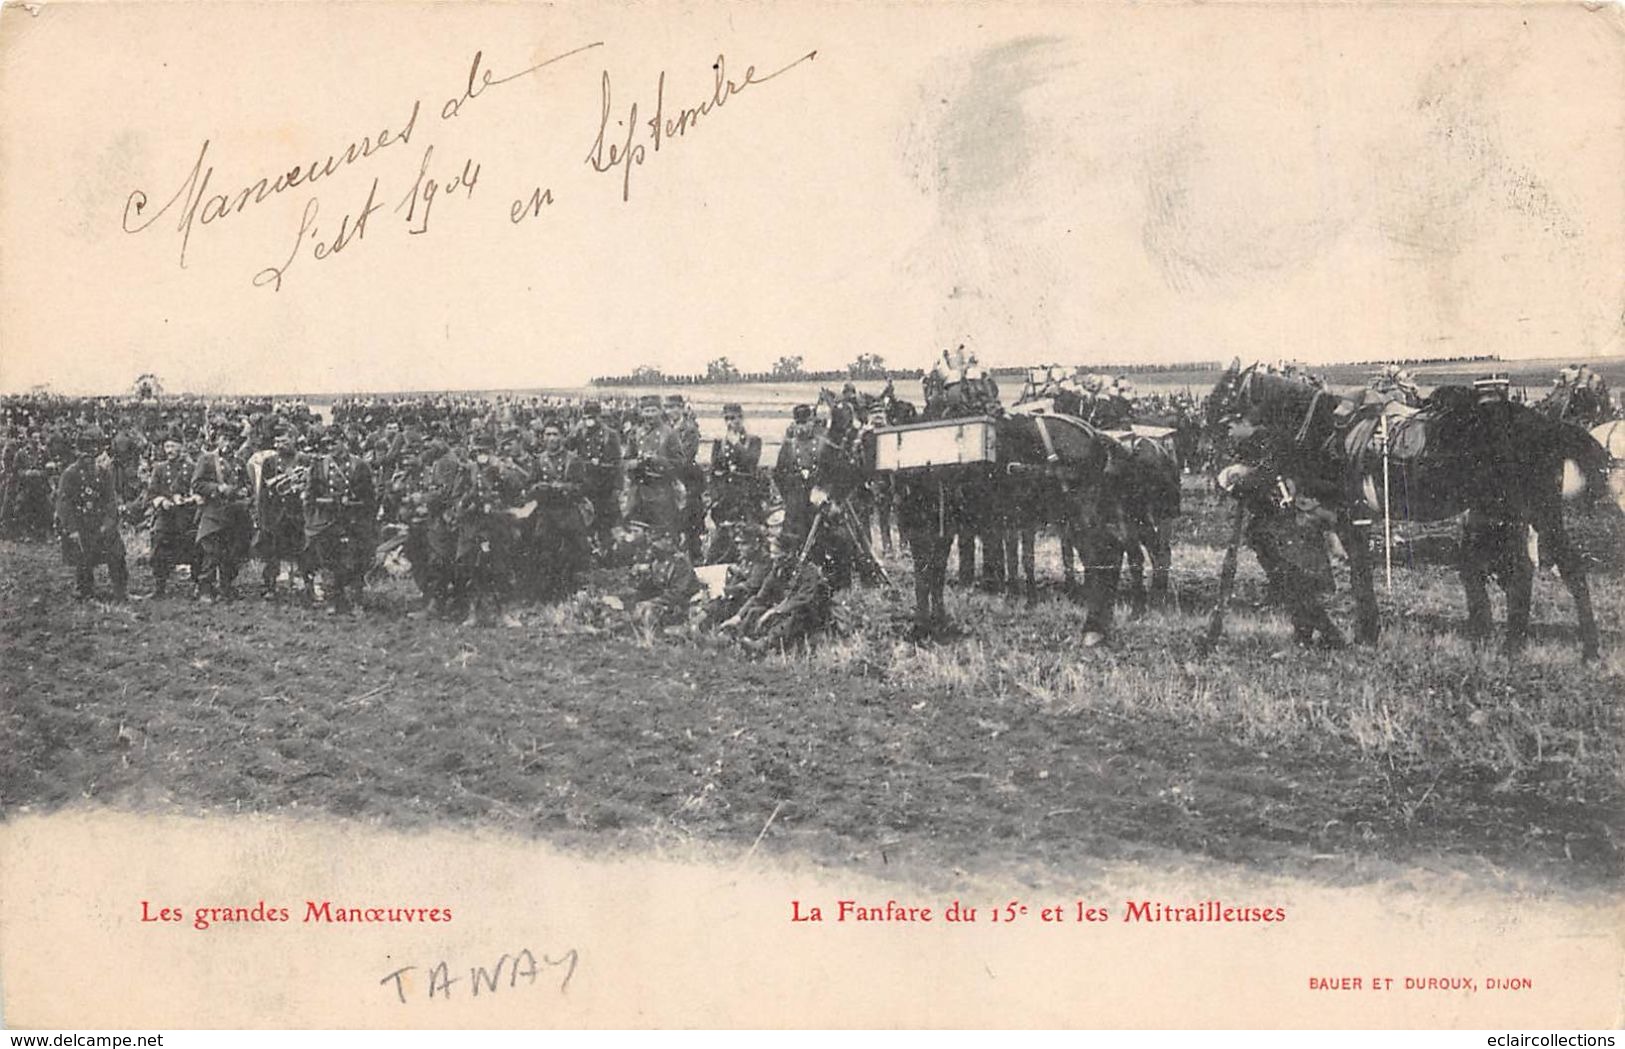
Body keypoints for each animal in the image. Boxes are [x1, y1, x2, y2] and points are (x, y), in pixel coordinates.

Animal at [1209, 362, 1612, 656]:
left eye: (1225, 394)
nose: (1211, 438)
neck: (1325, 430)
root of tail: (1548, 425)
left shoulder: (1349, 517)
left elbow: (1358, 573)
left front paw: (1365, 633)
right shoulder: (1323, 514)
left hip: (1536, 512)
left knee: (1562, 568)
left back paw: (1583, 649)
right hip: (1513, 514)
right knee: (1530, 572)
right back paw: (1520, 643)